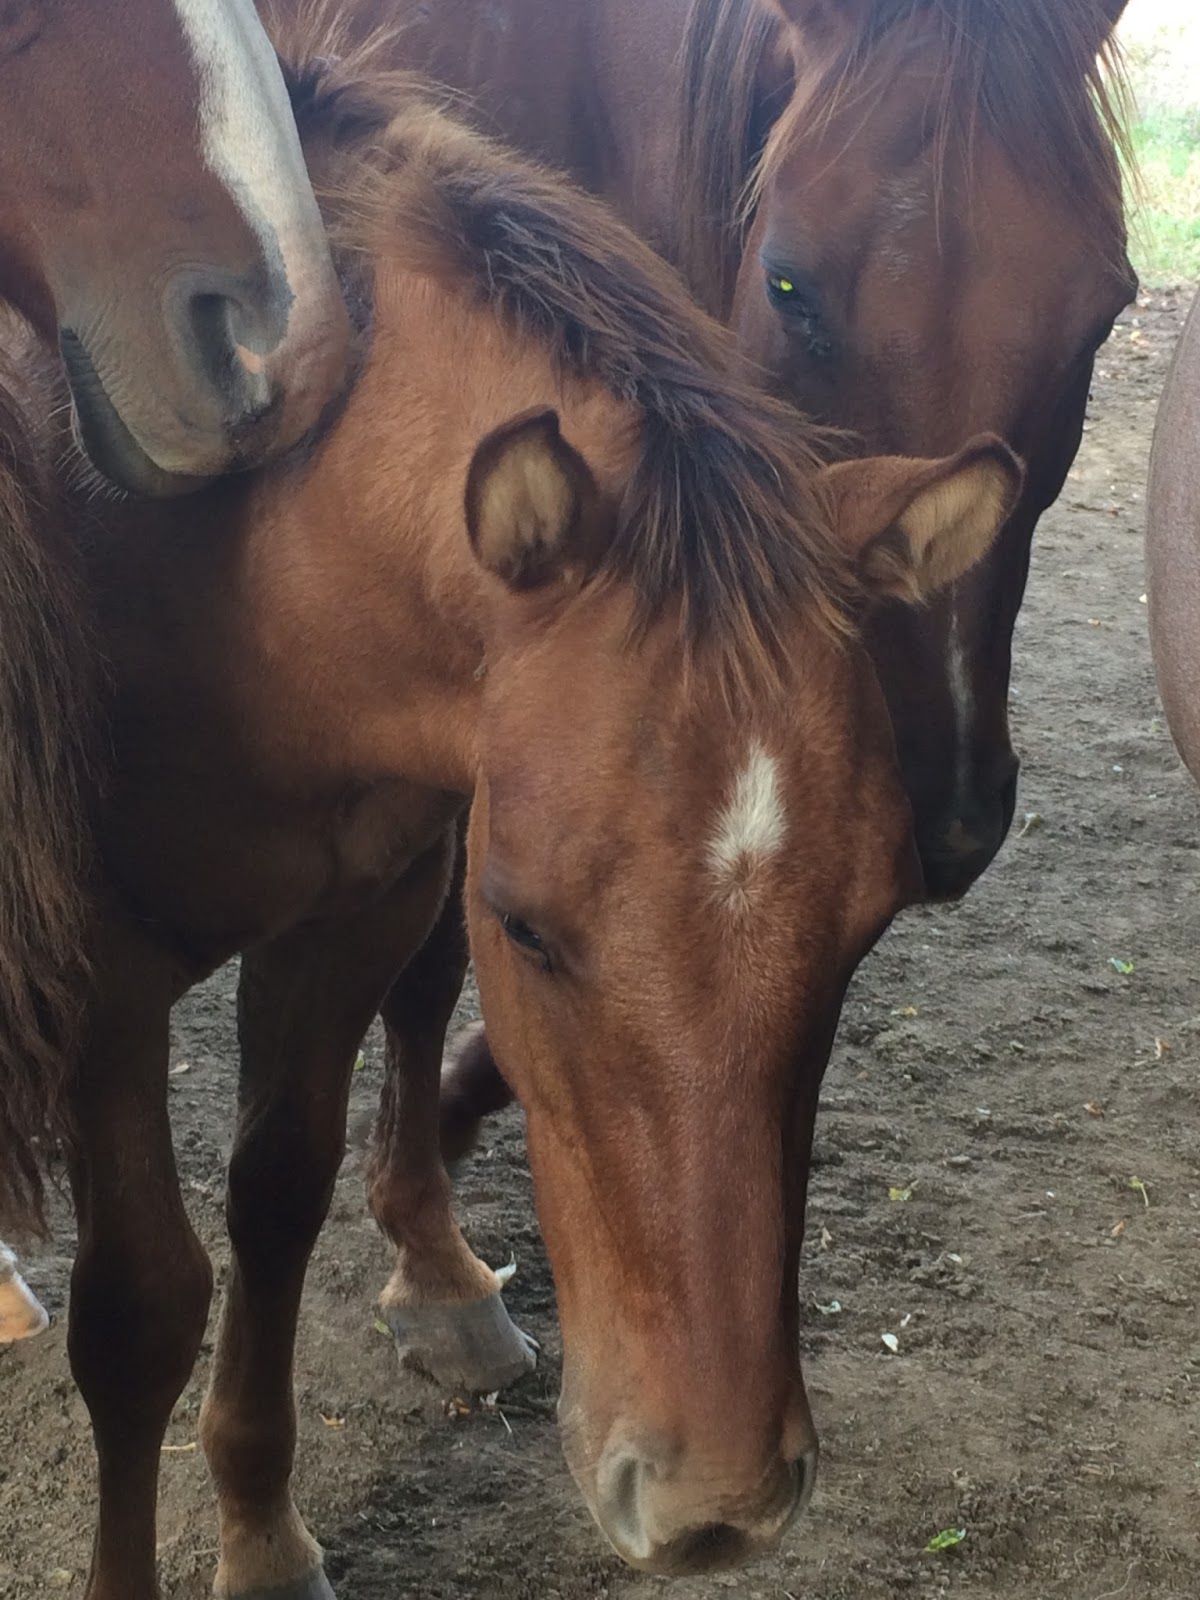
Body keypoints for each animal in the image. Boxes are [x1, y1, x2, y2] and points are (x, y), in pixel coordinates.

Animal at [4, 51, 1021, 1593]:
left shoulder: (358, 907)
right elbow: (137, 1315)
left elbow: (277, 1197)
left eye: (863, 929)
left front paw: (262, 1530)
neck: (238, 555)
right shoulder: (105, 981)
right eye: (527, 928)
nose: (716, 1505)